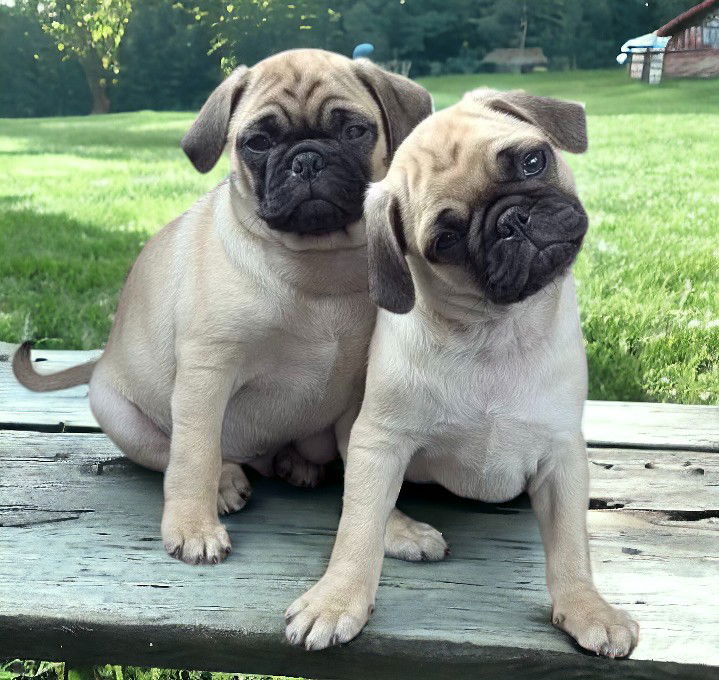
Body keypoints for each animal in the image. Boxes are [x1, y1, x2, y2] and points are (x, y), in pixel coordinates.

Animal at [12, 49, 434, 564]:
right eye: (257, 143)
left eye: (355, 131)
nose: (307, 158)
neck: (319, 268)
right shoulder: (206, 373)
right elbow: (194, 454)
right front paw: (193, 526)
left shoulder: (363, 394)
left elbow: (367, 474)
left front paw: (394, 529)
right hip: (118, 413)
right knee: (180, 453)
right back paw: (225, 482)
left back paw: (293, 462)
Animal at [286, 87, 640, 656]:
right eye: (446, 241)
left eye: (533, 161)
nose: (513, 221)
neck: (494, 331)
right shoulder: (379, 440)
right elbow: (357, 527)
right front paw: (337, 599)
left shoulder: (562, 454)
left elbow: (570, 544)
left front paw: (588, 608)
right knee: (360, 499)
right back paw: (403, 531)